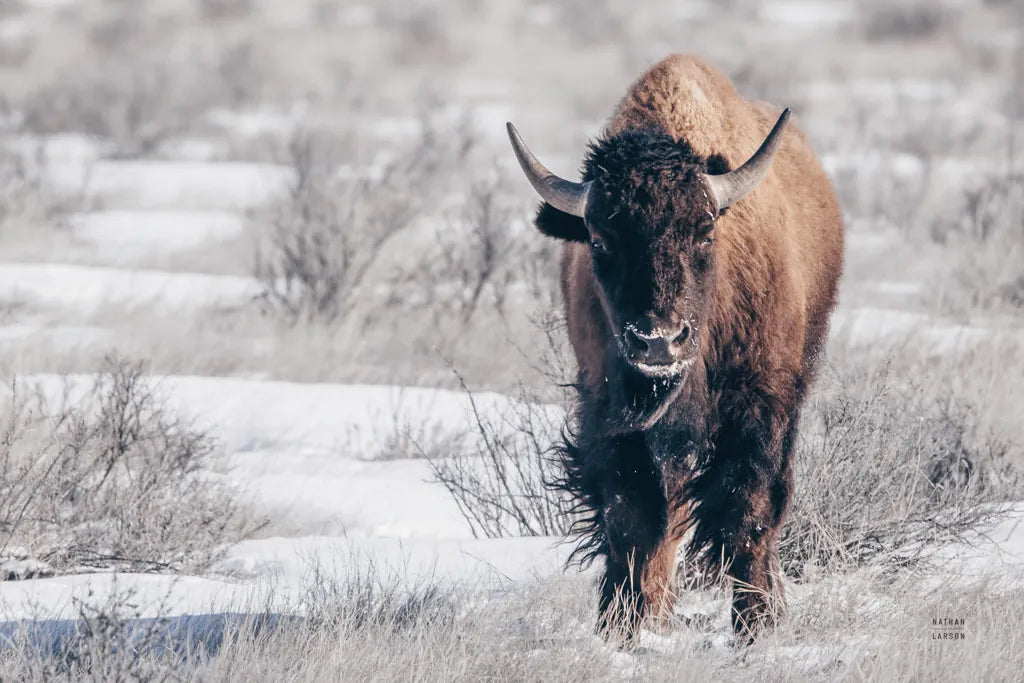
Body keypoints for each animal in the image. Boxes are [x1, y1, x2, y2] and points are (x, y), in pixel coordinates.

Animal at [506, 54, 844, 639]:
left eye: (704, 233)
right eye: (599, 241)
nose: (657, 341)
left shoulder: (760, 407)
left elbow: (748, 511)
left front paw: (755, 625)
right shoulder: (610, 415)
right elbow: (631, 518)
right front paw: (619, 626)